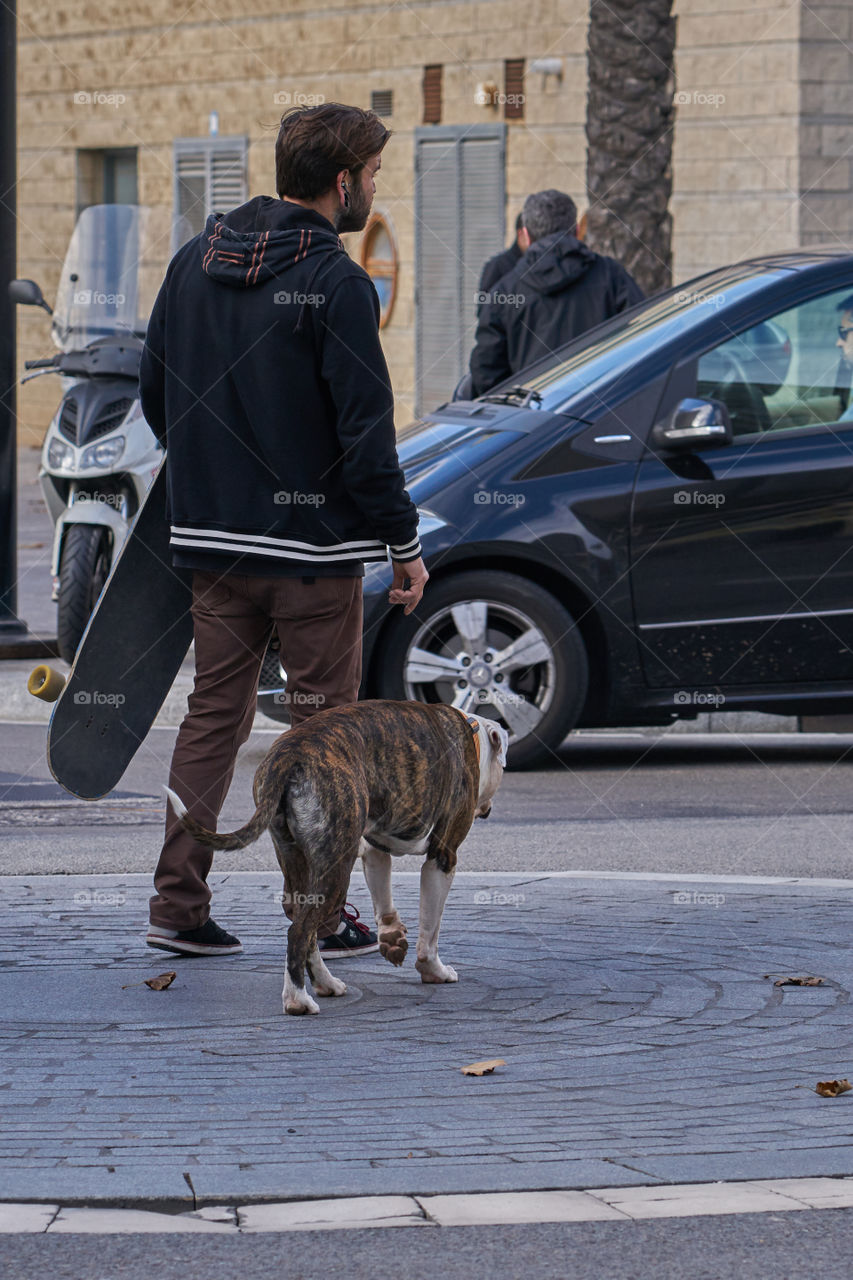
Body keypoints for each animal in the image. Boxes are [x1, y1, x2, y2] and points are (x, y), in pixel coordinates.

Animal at [166, 701, 504, 1008]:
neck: (471, 734)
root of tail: (289, 755)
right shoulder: (442, 857)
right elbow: (430, 928)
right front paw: (433, 969)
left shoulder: (375, 849)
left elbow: (384, 901)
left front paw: (392, 936)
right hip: (336, 868)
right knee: (299, 931)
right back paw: (298, 999)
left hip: (297, 860)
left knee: (304, 926)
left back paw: (325, 983)